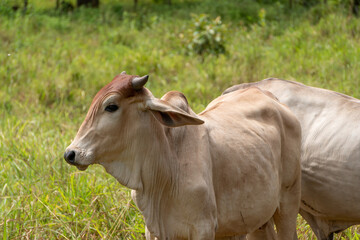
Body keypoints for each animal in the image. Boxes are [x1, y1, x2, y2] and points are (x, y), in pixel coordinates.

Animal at [64, 73, 300, 240]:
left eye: (111, 106)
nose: (71, 153)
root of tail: (272, 98)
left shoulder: (203, 229)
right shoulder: (154, 231)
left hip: (288, 204)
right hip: (255, 220)